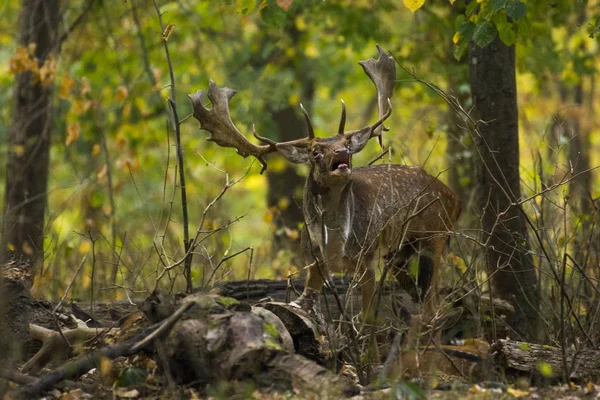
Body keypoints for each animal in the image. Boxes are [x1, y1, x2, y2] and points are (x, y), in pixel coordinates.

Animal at [190, 46, 462, 344]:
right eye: (315, 151)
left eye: (346, 144)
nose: (342, 153)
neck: (334, 245)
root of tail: (454, 197)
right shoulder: (314, 261)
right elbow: (304, 303)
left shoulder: (367, 258)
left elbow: (367, 319)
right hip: (401, 254)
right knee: (427, 303)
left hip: (433, 237)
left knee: (434, 305)